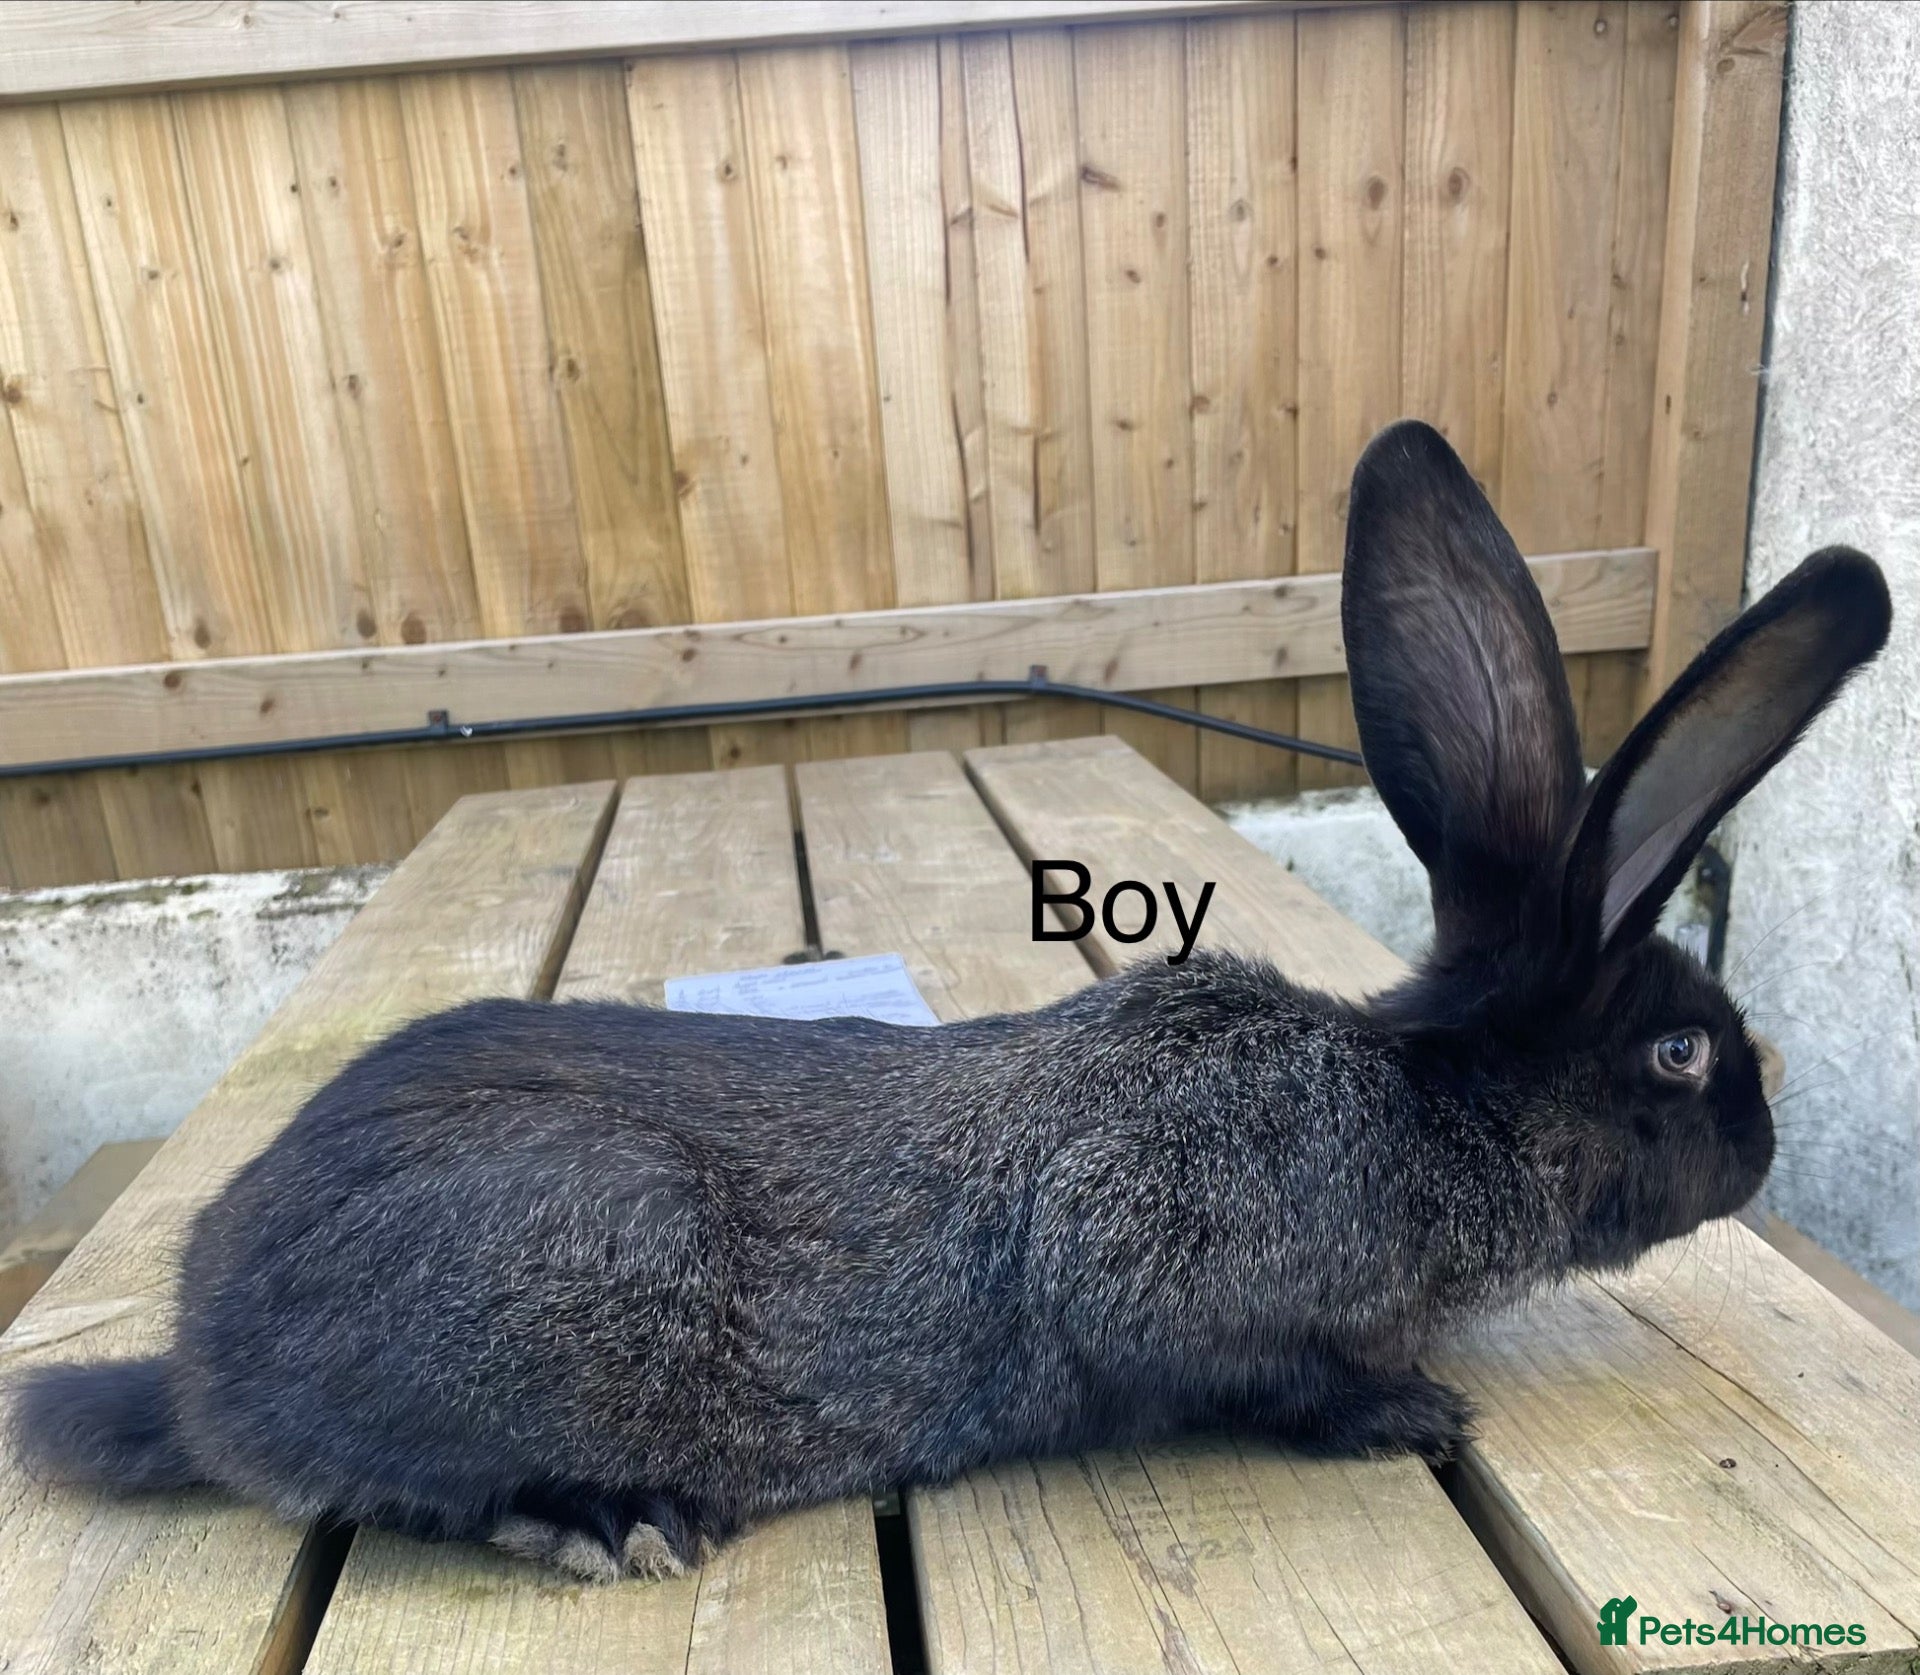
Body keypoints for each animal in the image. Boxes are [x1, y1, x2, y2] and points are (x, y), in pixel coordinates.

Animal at [9, 421, 1891, 1584]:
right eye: (1680, 1049)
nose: (1763, 1153)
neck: (1423, 1101)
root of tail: (203, 1363)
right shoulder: (1162, 1270)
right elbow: (1249, 1370)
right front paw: (1406, 1412)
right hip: (586, 1247)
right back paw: (608, 1519)